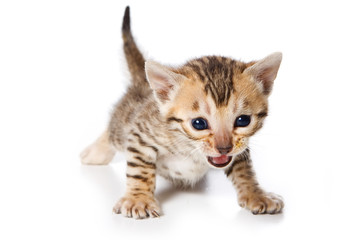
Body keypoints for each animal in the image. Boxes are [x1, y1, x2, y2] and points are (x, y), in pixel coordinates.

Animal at [81, 6, 284, 218]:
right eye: (199, 123)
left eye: (243, 120)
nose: (223, 148)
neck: (190, 148)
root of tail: (144, 83)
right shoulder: (140, 135)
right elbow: (139, 169)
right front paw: (139, 199)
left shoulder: (239, 149)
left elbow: (244, 170)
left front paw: (256, 194)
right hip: (123, 126)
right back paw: (96, 152)